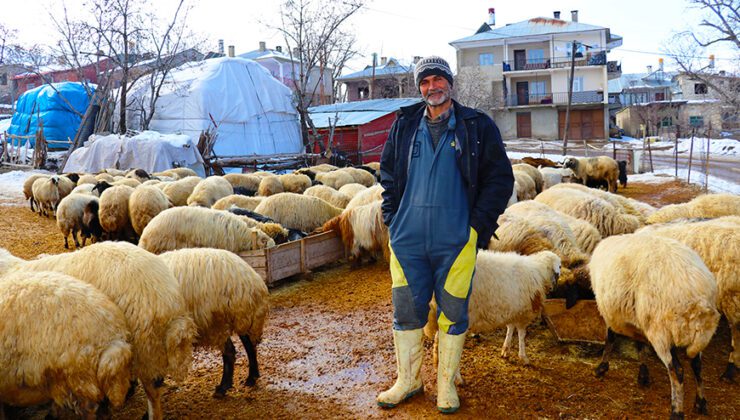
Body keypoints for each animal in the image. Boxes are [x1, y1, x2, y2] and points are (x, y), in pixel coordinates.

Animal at [158, 248, 270, 398]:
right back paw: (251, 378)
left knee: (230, 352)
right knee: (249, 346)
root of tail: (251, 279)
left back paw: (223, 387)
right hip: (241, 318)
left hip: (216, 322)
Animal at [588, 235, 720, 418]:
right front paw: (643, 375)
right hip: (696, 334)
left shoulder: (611, 315)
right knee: (697, 365)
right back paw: (700, 403)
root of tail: (699, 299)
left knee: (677, 371)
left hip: (662, 332)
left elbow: (610, 338)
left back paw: (676, 411)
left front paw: (601, 368)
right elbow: (640, 345)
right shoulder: (637, 320)